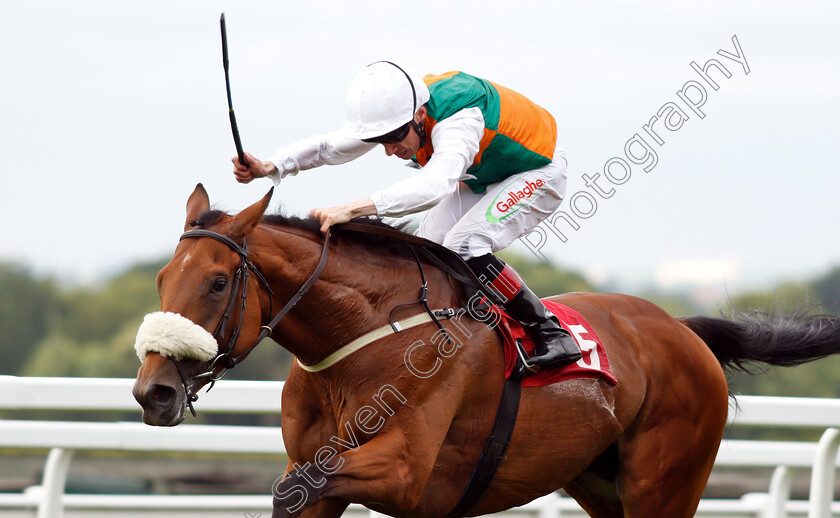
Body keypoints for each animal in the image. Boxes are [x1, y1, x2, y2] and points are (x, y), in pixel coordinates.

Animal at [133, 187, 840, 518]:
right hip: (600, 481)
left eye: (217, 282)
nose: (152, 392)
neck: (361, 339)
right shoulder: (331, 475)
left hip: (664, 483)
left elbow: (292, 489)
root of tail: (682, 329)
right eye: (162, 278)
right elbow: (296, 491)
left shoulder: (406, 472)